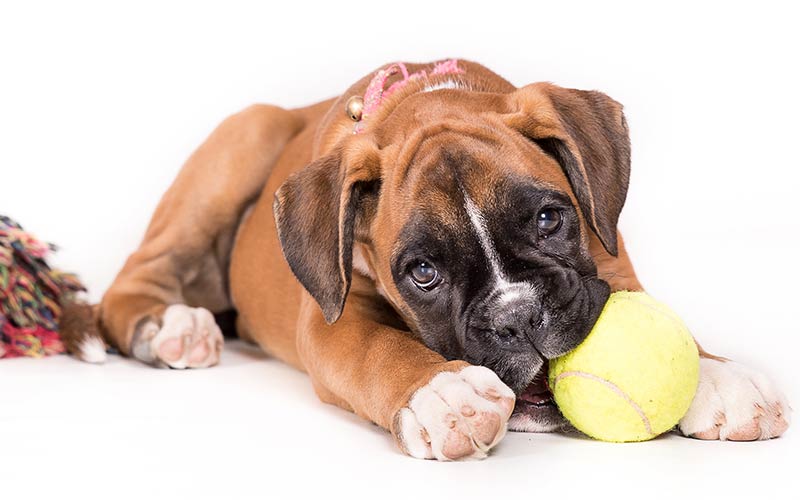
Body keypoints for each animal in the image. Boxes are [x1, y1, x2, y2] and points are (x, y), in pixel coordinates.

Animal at [78, 59, 792, 460]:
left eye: (549, 219)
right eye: (422, 273)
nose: (518, 318)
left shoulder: (606, 258)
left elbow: (650, 308)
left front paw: (719, 379)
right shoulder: (334, 323)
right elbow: (380, 351)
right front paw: (444, 396)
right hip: (241, 138)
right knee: (131, 281)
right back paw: (171, 326)